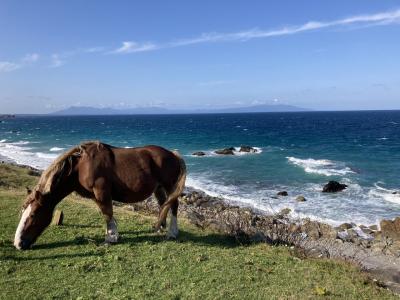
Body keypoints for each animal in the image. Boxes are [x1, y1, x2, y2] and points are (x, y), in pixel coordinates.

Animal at [13, 142, 186, 250]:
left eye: (33, 215)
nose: (18, 243)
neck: (81, 167)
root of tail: (173, 154)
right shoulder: (96, 196)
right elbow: (106, 214)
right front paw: (113, 233)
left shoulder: (101, 191)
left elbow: (107, 213)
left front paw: (111, 238)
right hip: (158, 188)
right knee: (164, 204)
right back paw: (160, 228)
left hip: (169, 185)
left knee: (173, 205)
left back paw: (172, 233)